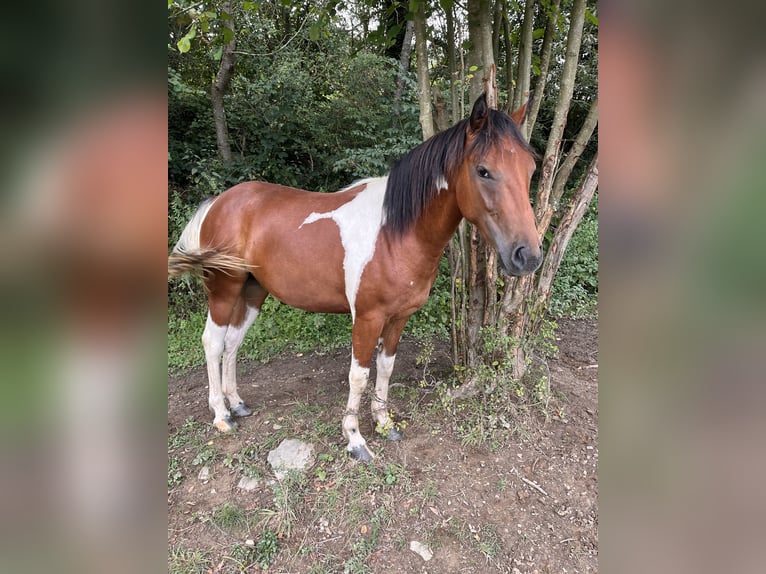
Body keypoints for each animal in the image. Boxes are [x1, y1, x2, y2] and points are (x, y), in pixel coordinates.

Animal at [168, 94, 544, 464]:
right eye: (483, 170)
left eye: (530, 169)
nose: (528, 255)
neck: (395, 232)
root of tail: (220, 202)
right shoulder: (367, 317)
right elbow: (359, 375)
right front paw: (355, 440)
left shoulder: (398, 317)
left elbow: (386, 368)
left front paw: (384, 423)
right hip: (224, 289)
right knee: (213, 342)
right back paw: (221, 415)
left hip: (252, 291)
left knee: (233, 342)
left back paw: (237, 404)